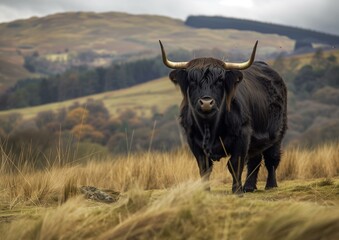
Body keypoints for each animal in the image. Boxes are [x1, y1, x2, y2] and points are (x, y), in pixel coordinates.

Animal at [161, 39, 288, 193]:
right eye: (192, 80)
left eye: (220, 81)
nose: (206, 103)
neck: (209, 125)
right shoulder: (193, 140)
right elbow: (204, 167)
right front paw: (205, 191)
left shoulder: (243, 134)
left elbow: (234, 164)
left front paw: (237, 191)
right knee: (255, 159)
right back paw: (249, 187)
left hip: (278, 132)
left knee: (271, 159)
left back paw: (270, 185)